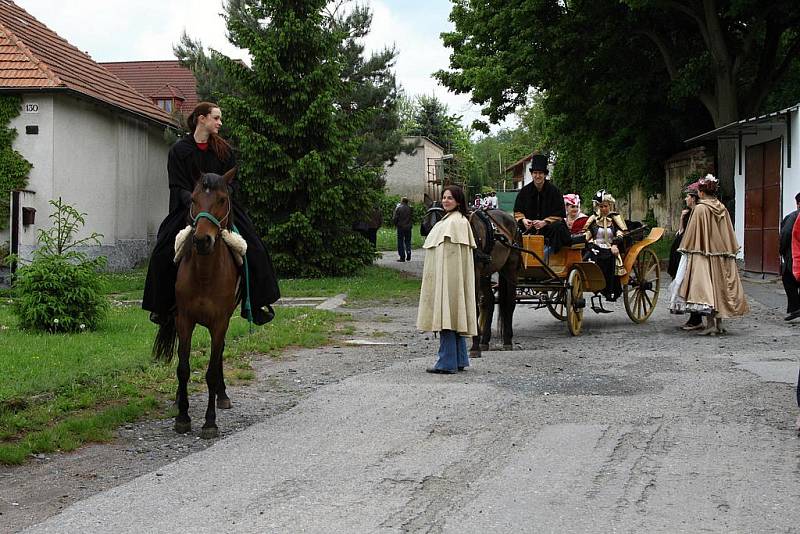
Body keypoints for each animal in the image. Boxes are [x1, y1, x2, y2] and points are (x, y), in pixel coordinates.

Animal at [152, 168, 241, 440]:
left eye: (222, 199)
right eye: (193, 199)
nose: (202, 240)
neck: (204, 274)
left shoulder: (220, 322)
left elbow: (211, 371)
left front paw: (209, 422)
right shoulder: (184, 320)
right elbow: (183, 368)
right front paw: (182, 416)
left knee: (219, 355)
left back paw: (222, 396)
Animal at [422, 205, 520, 360]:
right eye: (427, 227)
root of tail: (510, 218)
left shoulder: (474, 272)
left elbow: (474, 307)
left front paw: (474, 347)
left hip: (510, 268)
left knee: (509, 302)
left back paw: (507, 341)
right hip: (486, 273)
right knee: (489, 301)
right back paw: (485, 341)